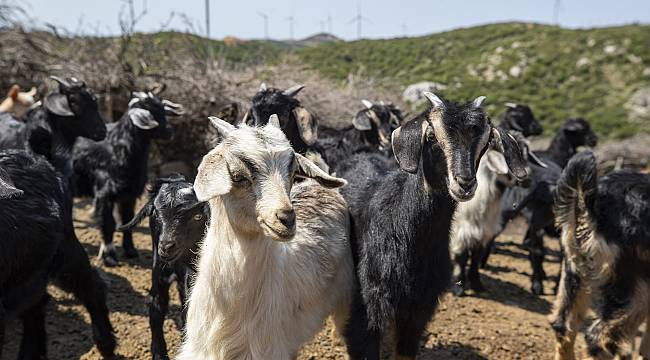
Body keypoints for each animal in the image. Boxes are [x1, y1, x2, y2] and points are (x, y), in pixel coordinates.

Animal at [73, 91, 180, 266]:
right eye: (151, 112)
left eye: (164, 111)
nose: (170, 131)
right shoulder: (104, 194)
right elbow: (108, 223)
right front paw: (110, 256)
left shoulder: (129, 194)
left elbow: (128, 221)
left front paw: (131, 251)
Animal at [117, 174, 206, 358]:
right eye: (157, 215)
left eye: (198, 216)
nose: (166, 246)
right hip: (159, 267)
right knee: (157, 304)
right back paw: (159, 353)